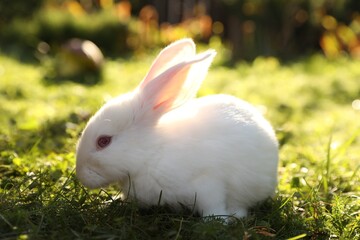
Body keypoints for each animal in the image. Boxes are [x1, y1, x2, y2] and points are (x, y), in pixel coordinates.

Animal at [76, 38, 278, 218]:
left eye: (103, 141)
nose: (81, 176)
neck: (152, 154)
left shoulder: (208, 183)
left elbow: (214, 206)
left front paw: (217, 221)